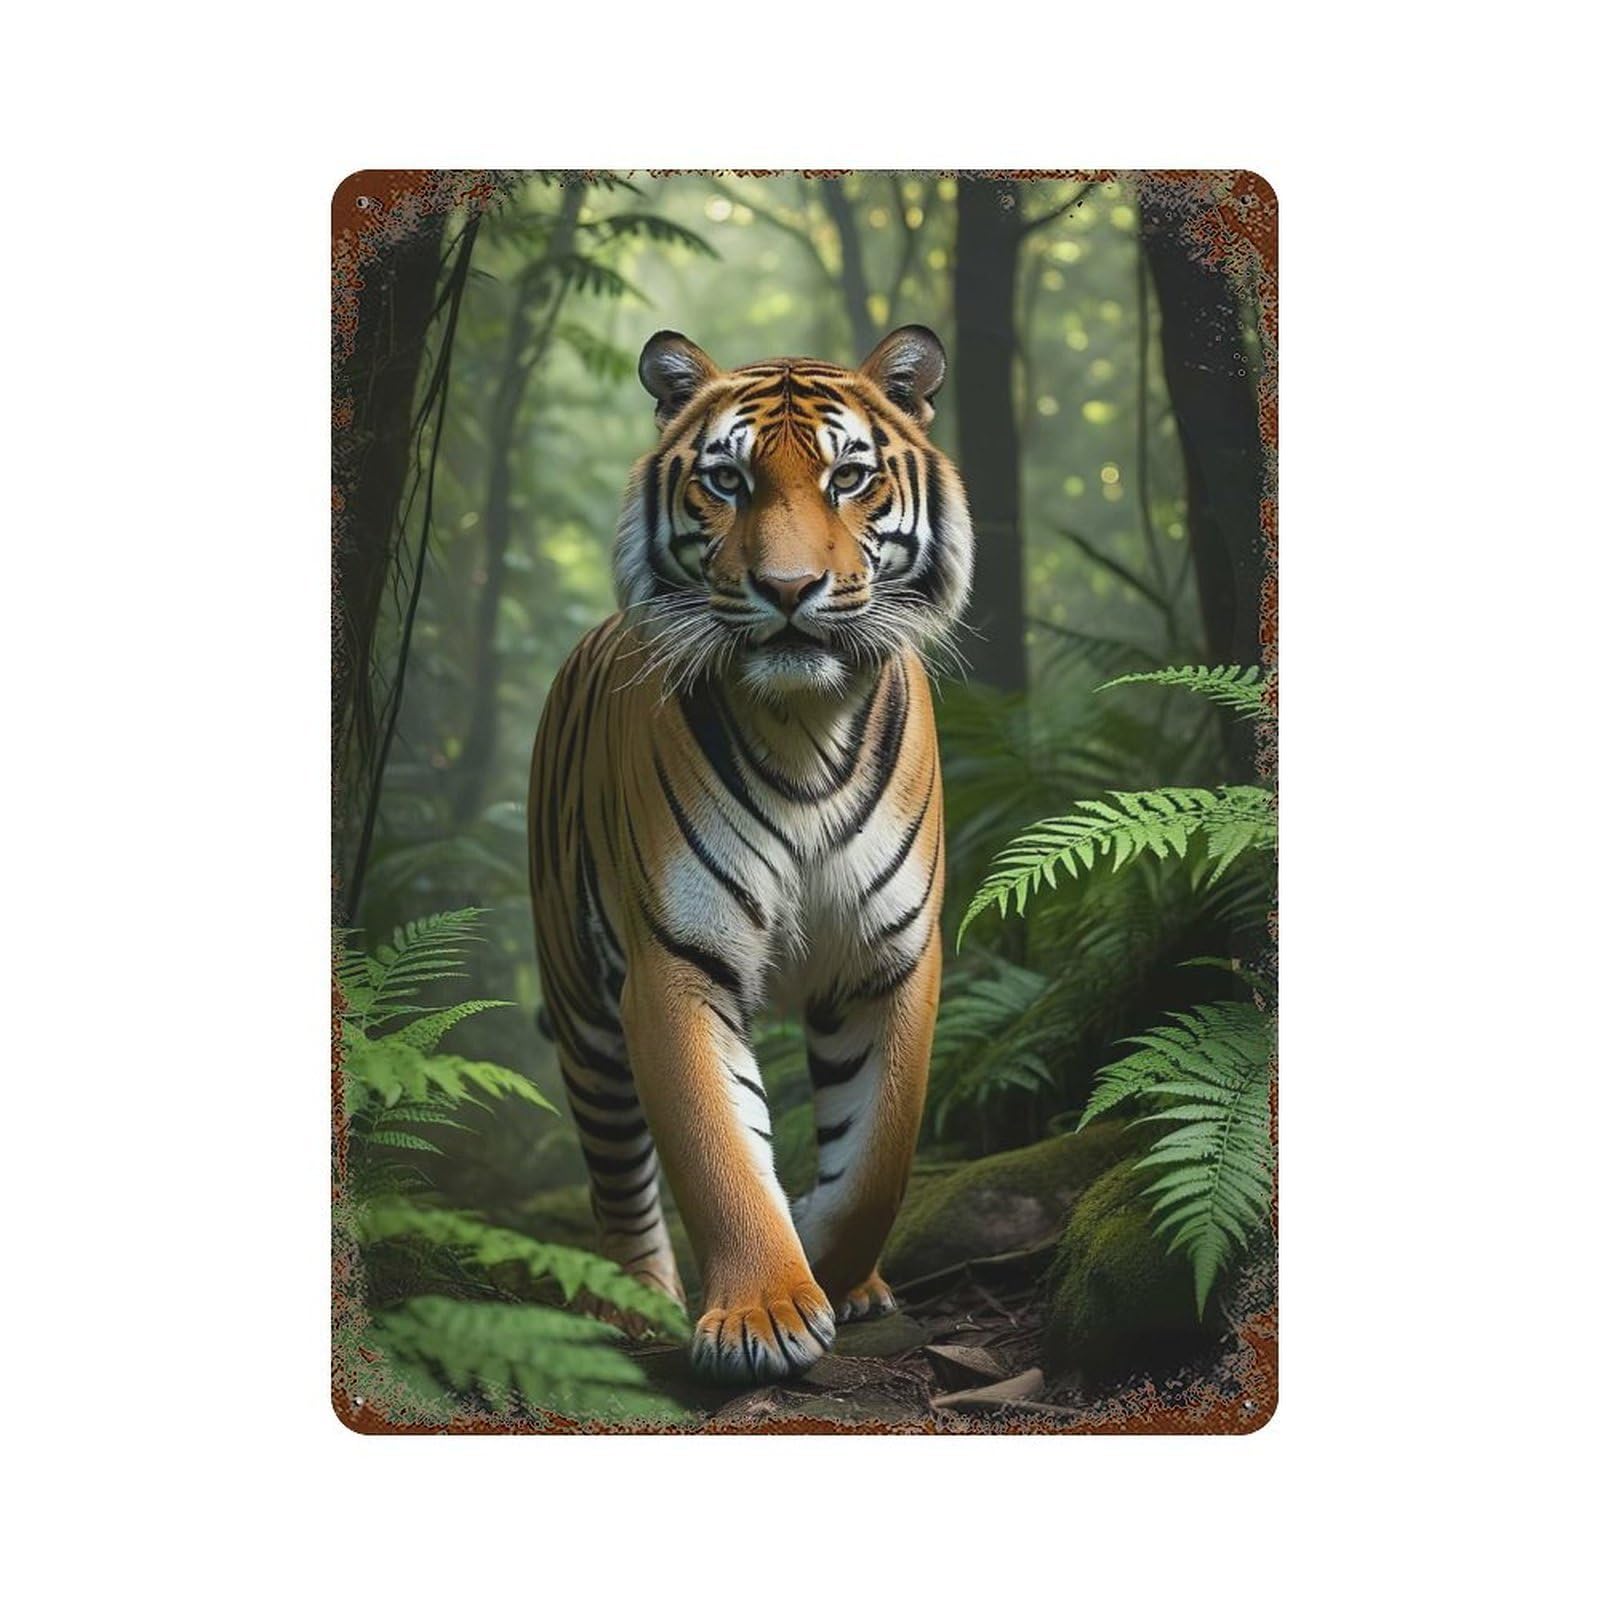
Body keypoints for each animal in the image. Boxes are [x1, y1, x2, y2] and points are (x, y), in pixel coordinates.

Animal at [527, 323, 973, 1385]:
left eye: (850, 477)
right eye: (727, 482)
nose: (787, 590)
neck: (804, 722)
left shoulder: (892, 956)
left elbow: (877, 1159)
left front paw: (830, 1263)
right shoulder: (674, 963)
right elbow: (719, 1153)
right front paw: (765, 1313)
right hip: (582, 1009)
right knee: (619, 1178)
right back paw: (631, 1304)